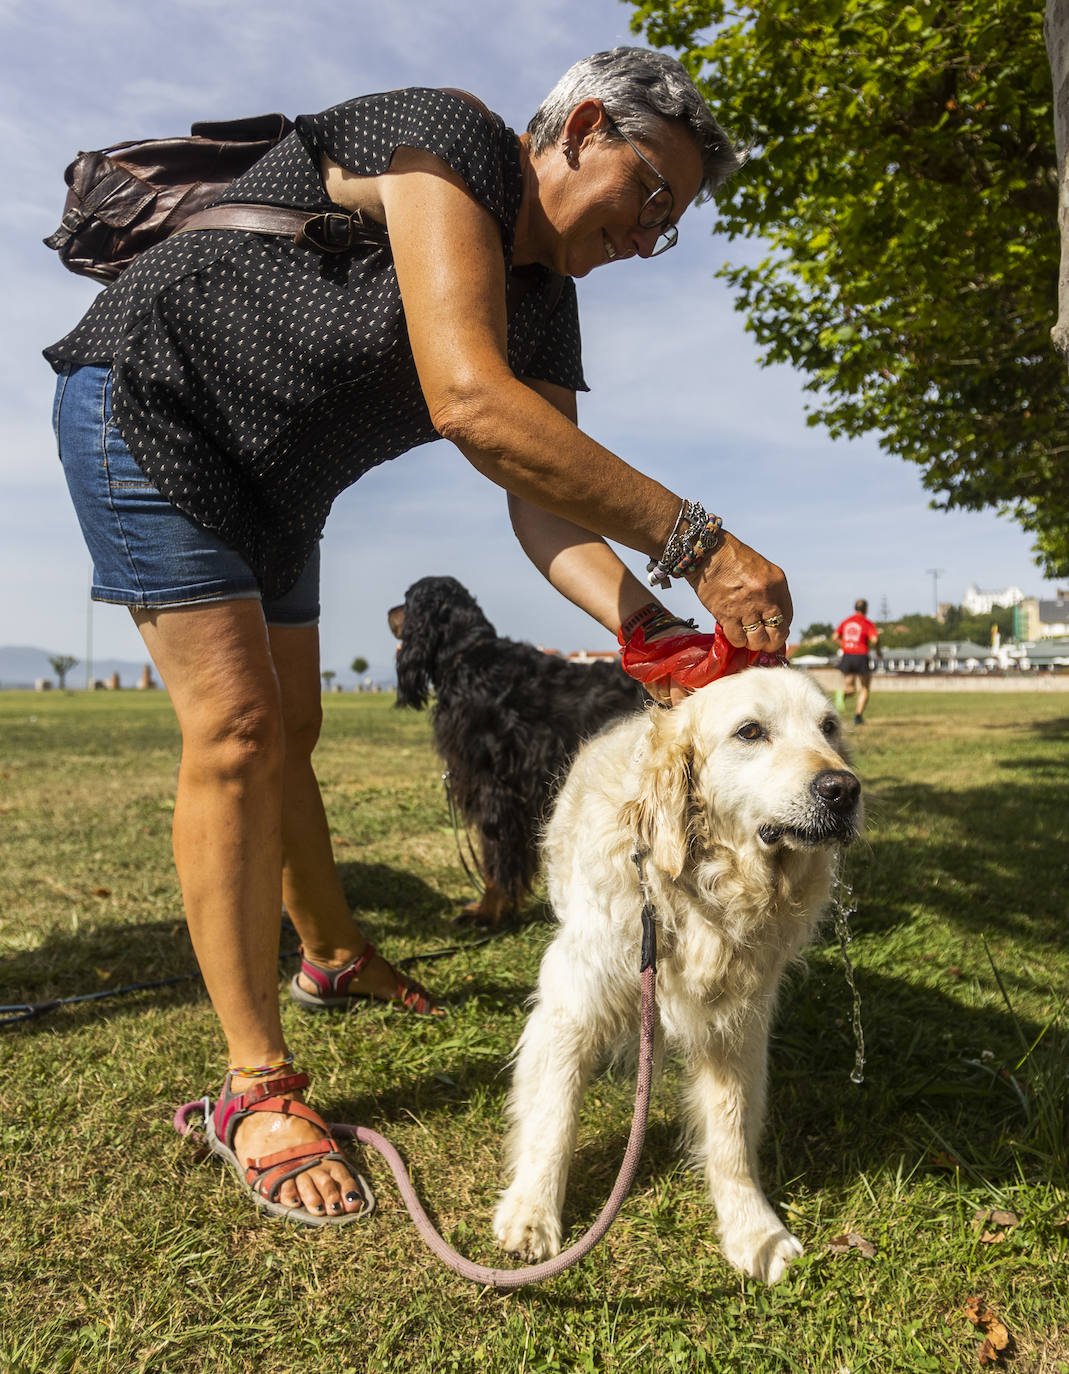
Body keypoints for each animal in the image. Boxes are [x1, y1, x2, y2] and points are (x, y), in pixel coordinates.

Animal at [390, 574, 640, 928]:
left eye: (407, 600)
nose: (389, 613)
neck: (468, 657)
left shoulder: (493, 787)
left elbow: (494, 853)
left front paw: (486, 911)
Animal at [491, 667, 857, 1286]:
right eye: (750, 731)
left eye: (829, 727)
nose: (844, 789)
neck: (699, 893)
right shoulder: (574, 1000)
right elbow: (552, 1114)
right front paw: (532, 1212)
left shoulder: (736, 1023)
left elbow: (731, 1133)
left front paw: (753, 1231)